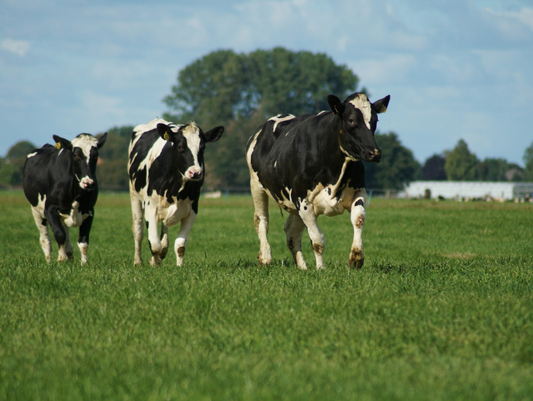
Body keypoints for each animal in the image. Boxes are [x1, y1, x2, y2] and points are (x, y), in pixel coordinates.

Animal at [23, 132, 108, 262]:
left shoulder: (89, 211)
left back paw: (69, 254)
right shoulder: (50, 209)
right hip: (36, 211)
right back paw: (49, 261)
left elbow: (83, 242)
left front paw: (84, 264)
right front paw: (61, 259)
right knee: (45, 240)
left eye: (95, 155)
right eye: (76, 155)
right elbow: (59, 235)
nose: (88, 183)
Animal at [129, 117, 224, 266]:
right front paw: (154, 263)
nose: (195, 172)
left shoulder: (192, 210)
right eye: (180, 147)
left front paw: (179, 266)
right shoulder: (151, 207)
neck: (176, 189)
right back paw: (138, 261)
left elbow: (180, 245)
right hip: (134, 195)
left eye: (203, 148)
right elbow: (154, 244)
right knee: (138, 230)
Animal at [244, 92, 386, 270]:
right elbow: (318, 240)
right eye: (351, 120)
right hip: (256, 186)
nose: (374, 153)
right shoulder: (303, 202)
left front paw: (356, 258)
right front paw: (320, 269)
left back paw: (302, 267)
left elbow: (359, 219)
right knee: (262, 221)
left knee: (291, 232)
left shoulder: (359, 191)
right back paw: (265, 258)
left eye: (375, 120)